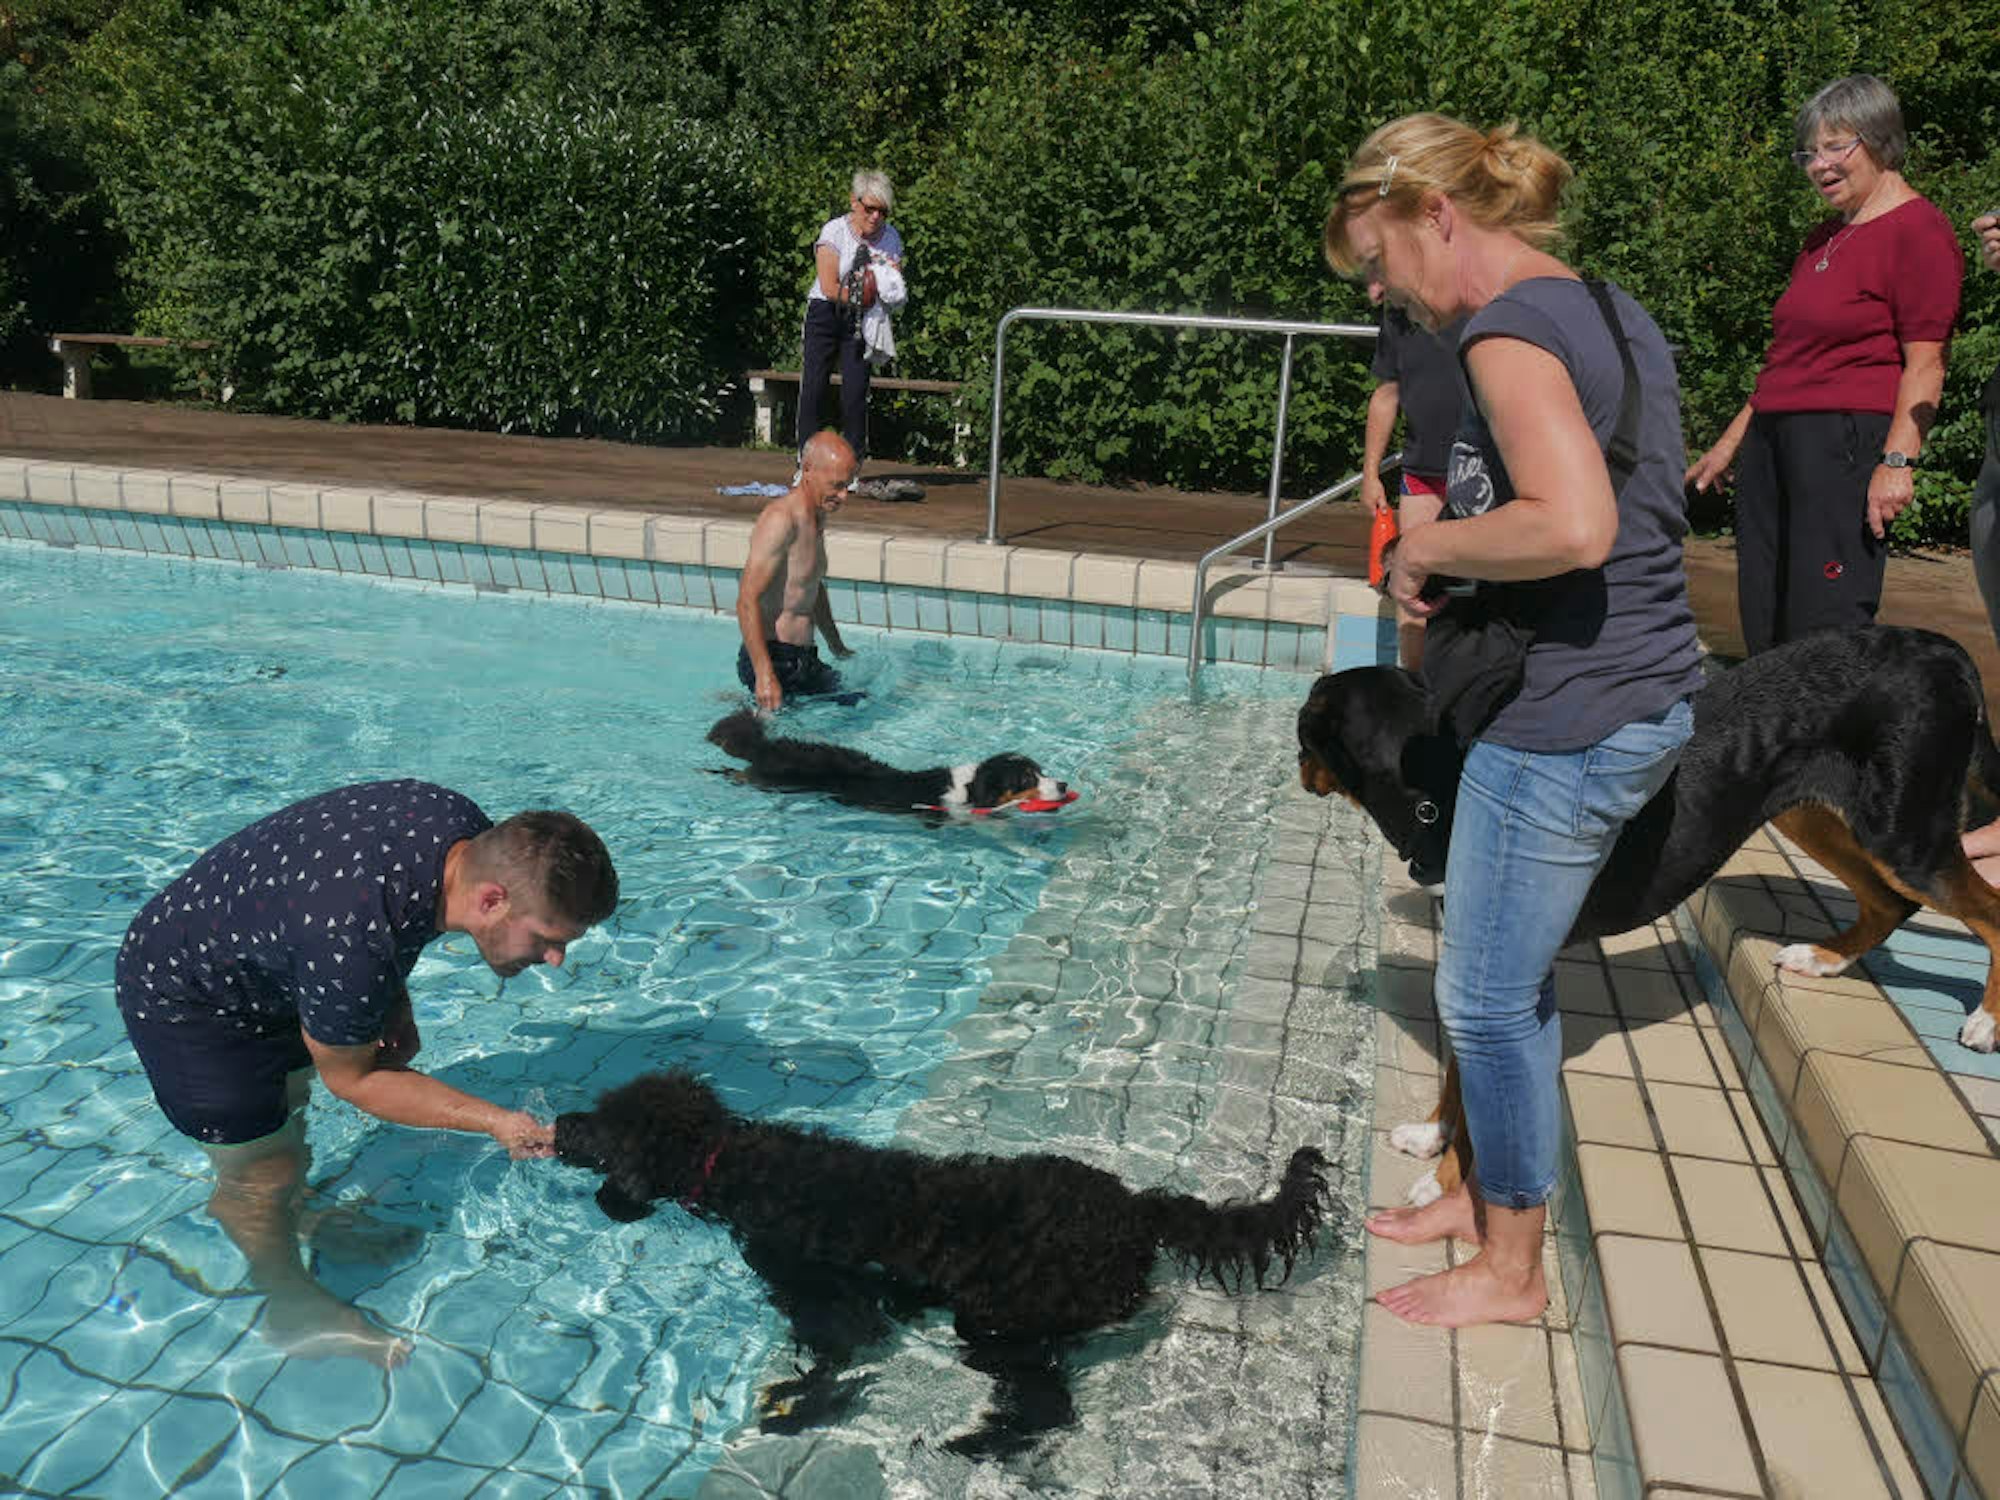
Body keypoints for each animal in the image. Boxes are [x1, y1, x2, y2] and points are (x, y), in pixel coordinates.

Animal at [554, 1069, 1330, 1456]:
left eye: (603, 1124)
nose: (560, 1122)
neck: (737, 1164)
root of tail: (1138, 1209)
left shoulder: (828, 1301)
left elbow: (833, 1362)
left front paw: (794, 1414)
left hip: (996, 1321)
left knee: (1045, 1406)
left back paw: (978, 1443)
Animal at [1296, 626, 2000, 1203]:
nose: (1299, 766)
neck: (1438, 792)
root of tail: (1939, 647)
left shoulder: (1502, 988)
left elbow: (1483, 1102)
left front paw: (1443, 1185)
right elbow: (1457, 1077)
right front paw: (1431, 1136)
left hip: (1905, 834)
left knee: (1983, 909)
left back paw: (1986, 1021)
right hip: (1816, 813)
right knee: (1890, 901)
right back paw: (1824, 959)